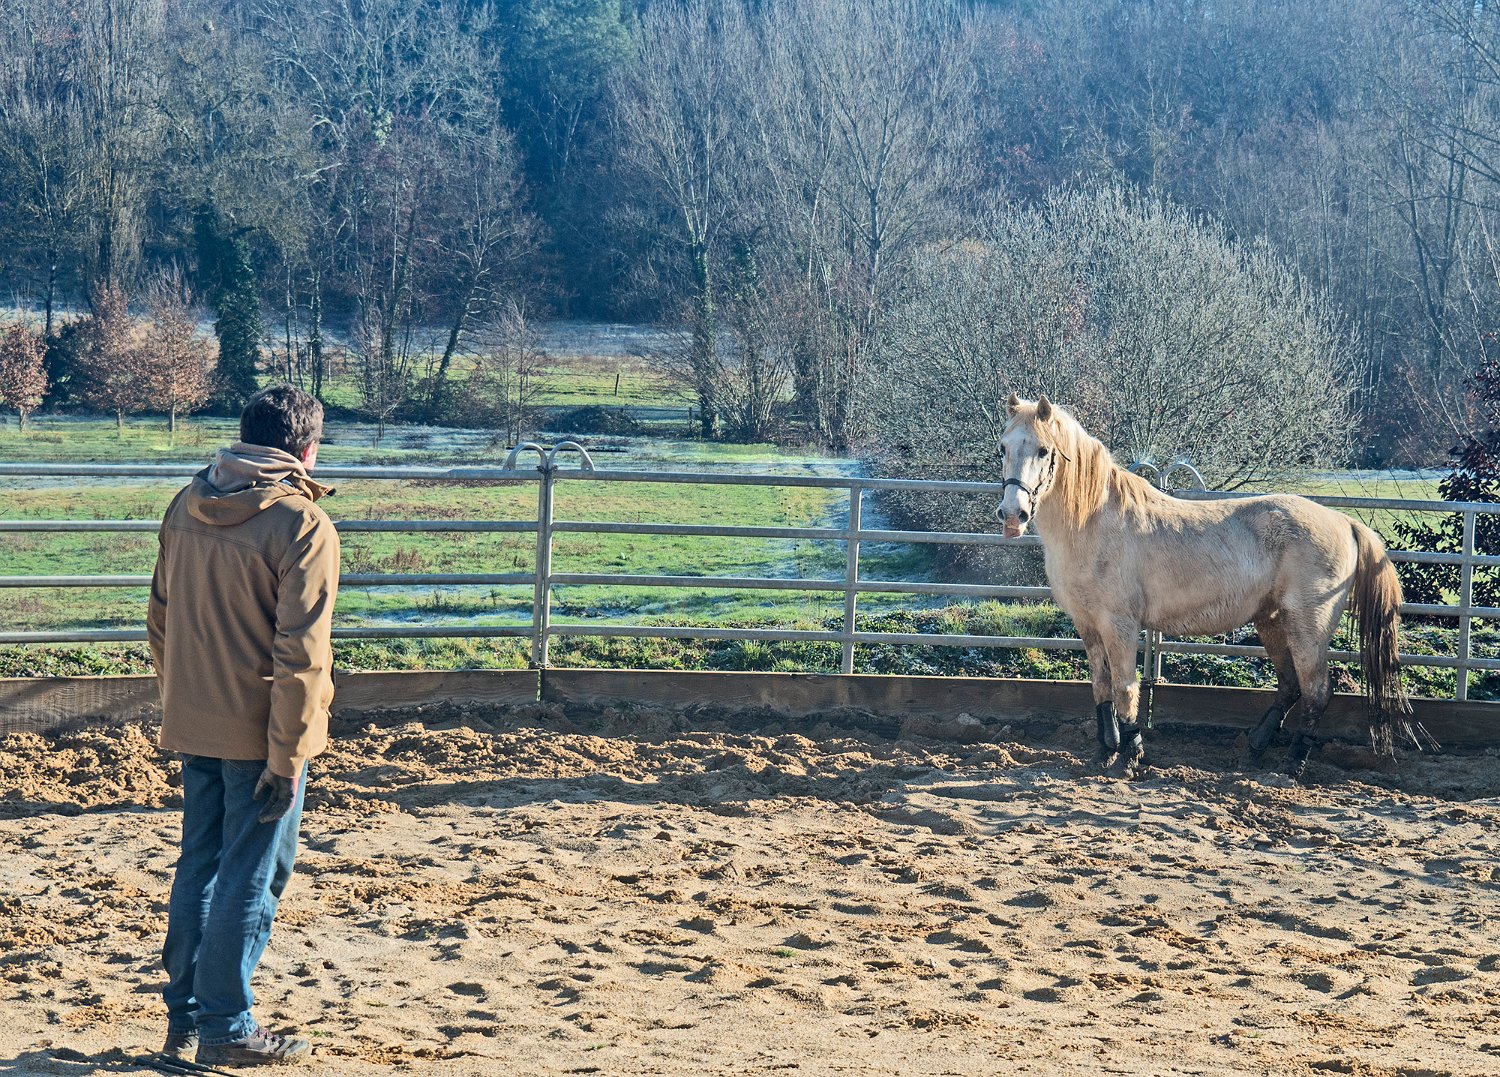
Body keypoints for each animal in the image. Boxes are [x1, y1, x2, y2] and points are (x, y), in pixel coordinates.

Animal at [995, 393, 1418, 778]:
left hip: (1307, 628)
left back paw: (1293, 765)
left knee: (1316, 690)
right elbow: (1101, 687)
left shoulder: (1120, 625)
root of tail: (1345, 521)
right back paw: (1254, 749)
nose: (1013, 515)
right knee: (1290, 686)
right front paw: (1105, 752)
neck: (1093, 522)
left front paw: (1131, 757)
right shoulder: (1087, 624)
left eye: (1044, 450)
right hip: (1272, 621)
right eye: (1004, 446)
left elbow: (1125, 688)